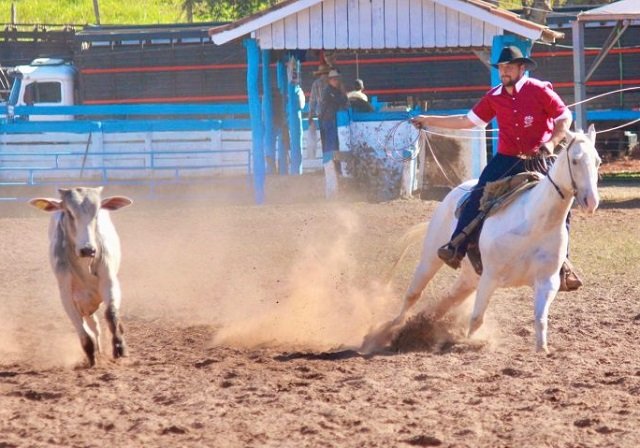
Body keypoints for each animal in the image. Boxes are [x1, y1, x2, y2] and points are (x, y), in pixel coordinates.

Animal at [30, 187, 132, 366]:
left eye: (97, 211)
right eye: (69, 212)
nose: (88, 249)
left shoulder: (109, 281)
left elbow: (111, 314)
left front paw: (120, 348)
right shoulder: (67, 296)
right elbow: (82, 329)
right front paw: (91, 357)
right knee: (92, 326)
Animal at [362, 125, 601, 354]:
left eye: (598, 161)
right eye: (575, 160)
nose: (591, 201)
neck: (535, 221)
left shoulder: (547, 281)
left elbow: (540, 319)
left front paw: (542, 349)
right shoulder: (490, 276)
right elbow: (476, 318)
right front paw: (469, 343)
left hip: (470, 278)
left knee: (448, 299)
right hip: (431, 258)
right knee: (413, 294)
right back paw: (388, 330)